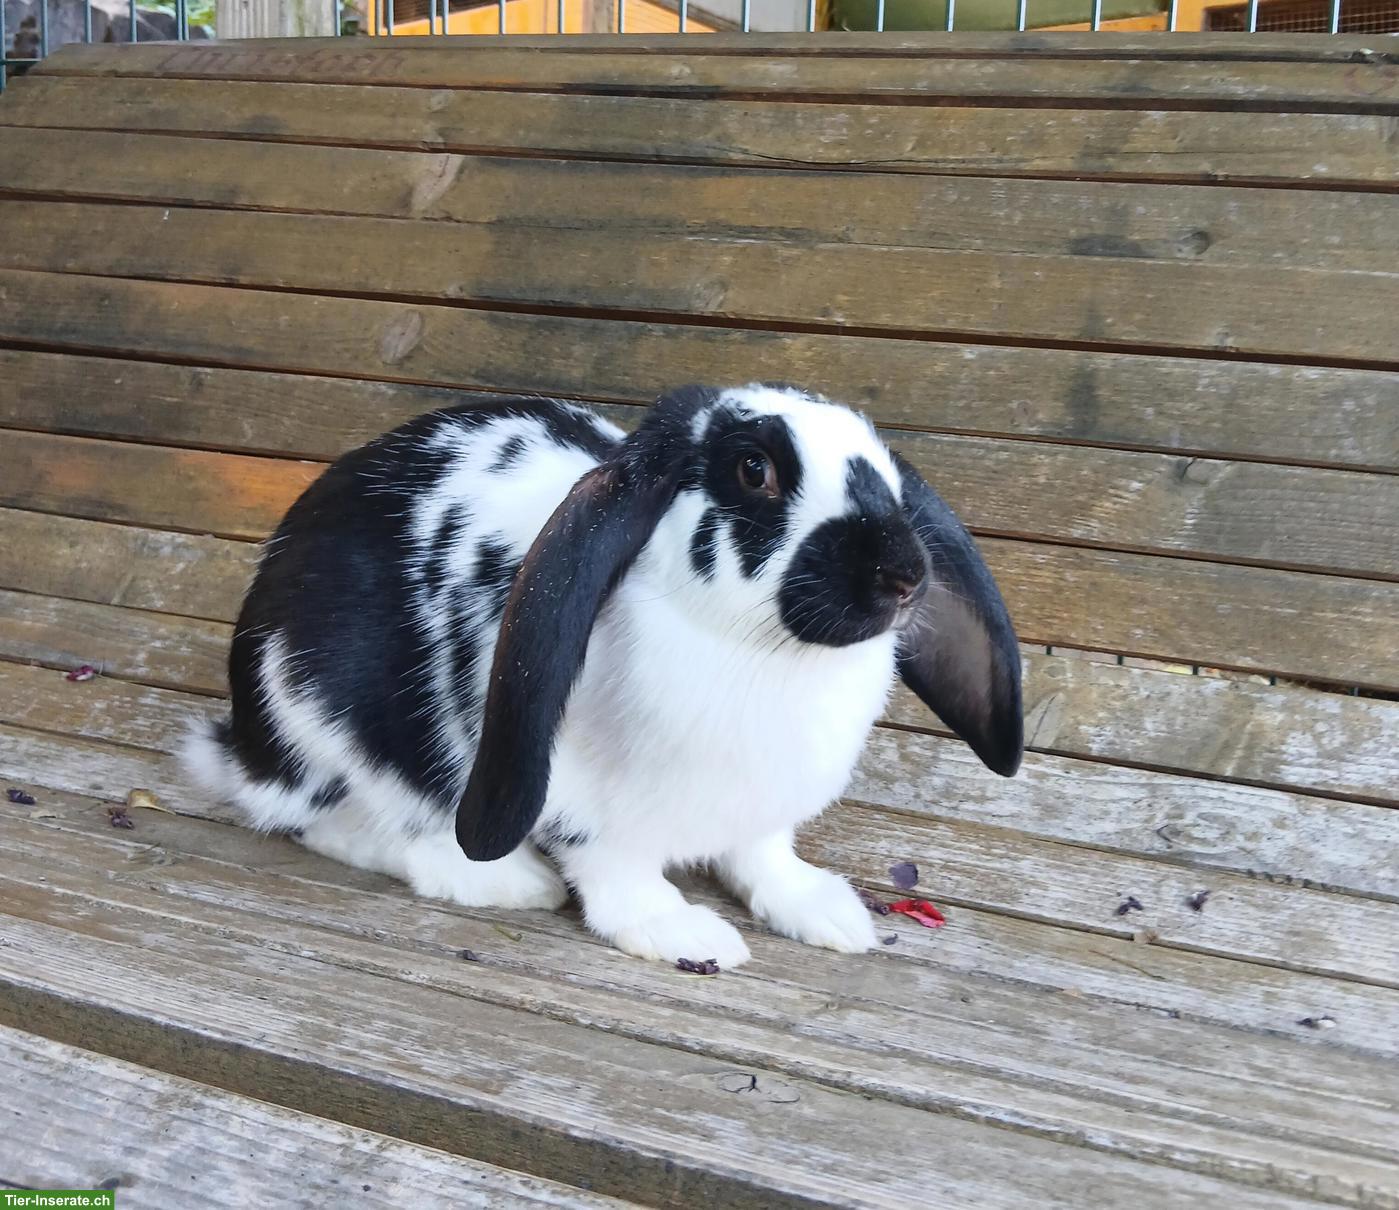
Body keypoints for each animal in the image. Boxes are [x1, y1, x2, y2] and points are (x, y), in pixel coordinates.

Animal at [184, 384, 1022, 967]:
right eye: (753, 469)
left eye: (885, 474)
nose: (905, 576)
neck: (760, 652)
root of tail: (242, 745)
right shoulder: (581, 805)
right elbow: (617, 872)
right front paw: (683, 932)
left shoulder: (761, 815)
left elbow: (764, 858)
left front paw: (824, 910)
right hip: (326, 718)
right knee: (344, 823)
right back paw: (507, 881)